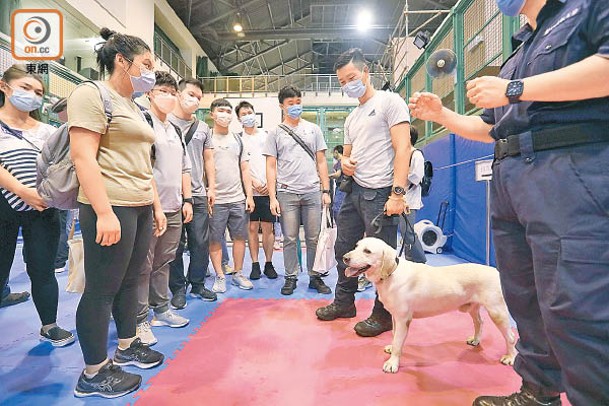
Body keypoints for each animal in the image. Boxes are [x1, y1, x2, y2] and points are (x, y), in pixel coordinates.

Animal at [342, 238, 512, 374]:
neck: (391, 274)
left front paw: (392, 363)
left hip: (497, 311)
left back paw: (509, 357)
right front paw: (391, 348)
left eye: (367, 251)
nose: (345, 258)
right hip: (472, 307)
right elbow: (395, 335)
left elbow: (398, 342)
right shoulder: (395, 317)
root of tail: (496, 271)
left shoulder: (403, 319)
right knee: (479, 322)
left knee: (510, 337)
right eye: (356, 246)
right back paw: (475, 340)